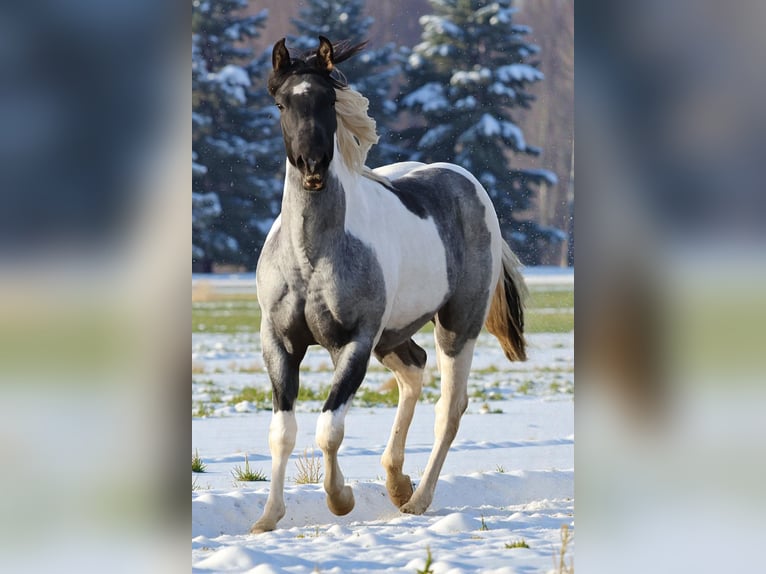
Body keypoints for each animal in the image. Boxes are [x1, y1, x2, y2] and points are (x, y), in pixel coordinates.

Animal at [250, 36, 528, 533]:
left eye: (328, 100)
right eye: (282, 103)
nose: (313, 168)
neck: (310, 255)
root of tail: (467, 182)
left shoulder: (355, 342)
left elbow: (330, 428)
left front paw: (340, 499)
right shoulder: (279, 342)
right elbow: (283, 432)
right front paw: (267, 518)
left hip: (455, 327)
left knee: (449, 409)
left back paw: (417, 500)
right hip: (393, 335)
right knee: (414, 371)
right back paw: (397, 482)